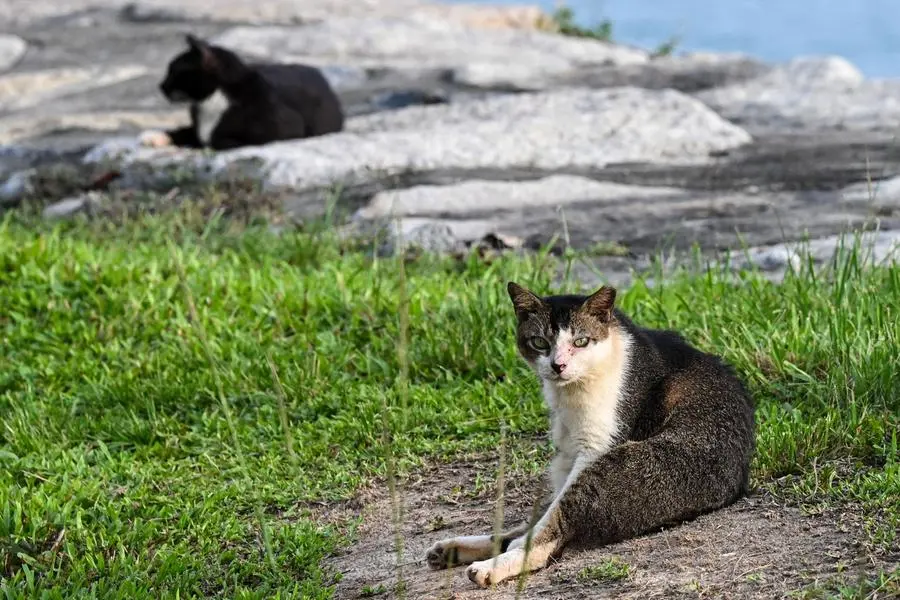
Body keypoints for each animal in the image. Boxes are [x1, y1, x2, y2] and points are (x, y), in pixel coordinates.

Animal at [141, 34, 344, 151]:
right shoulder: (196, 126)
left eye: (174, 71)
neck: (211, 103)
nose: (161, 85)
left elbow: (217, 140)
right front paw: (155, 137)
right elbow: (186, 131)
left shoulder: (286, 128)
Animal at [426, 284, 756, 588]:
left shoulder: (595, 446)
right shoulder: (570, 451)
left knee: (544, 539)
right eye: (539, 342)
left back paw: (488, 568)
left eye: (581, 341)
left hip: (620, 467)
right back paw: (449, 550)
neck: (571, 393)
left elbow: (547, 525)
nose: (558, 365)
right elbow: (539, 518)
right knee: (527, 529)